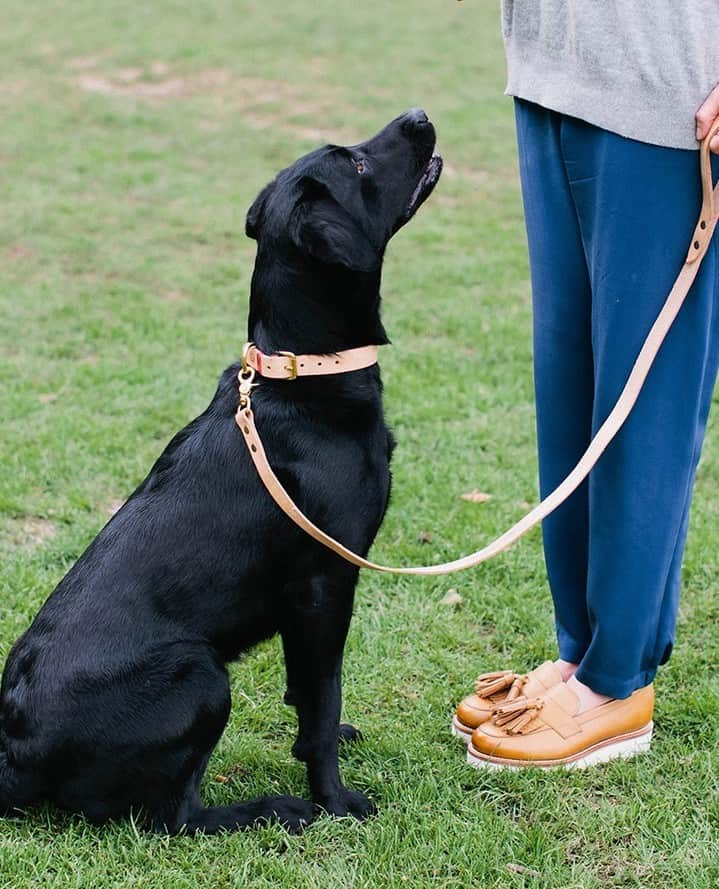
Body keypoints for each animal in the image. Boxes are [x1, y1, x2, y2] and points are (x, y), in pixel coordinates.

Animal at [0, 109, 442, 832]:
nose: (418, 116)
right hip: (201, 673)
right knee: (173, 816)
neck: (301, 374)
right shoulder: (325, 581)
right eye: (354, 163)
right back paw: (273, 809)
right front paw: (335, 799)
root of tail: (14, 755)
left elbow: (310, 696)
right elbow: (322, 695)